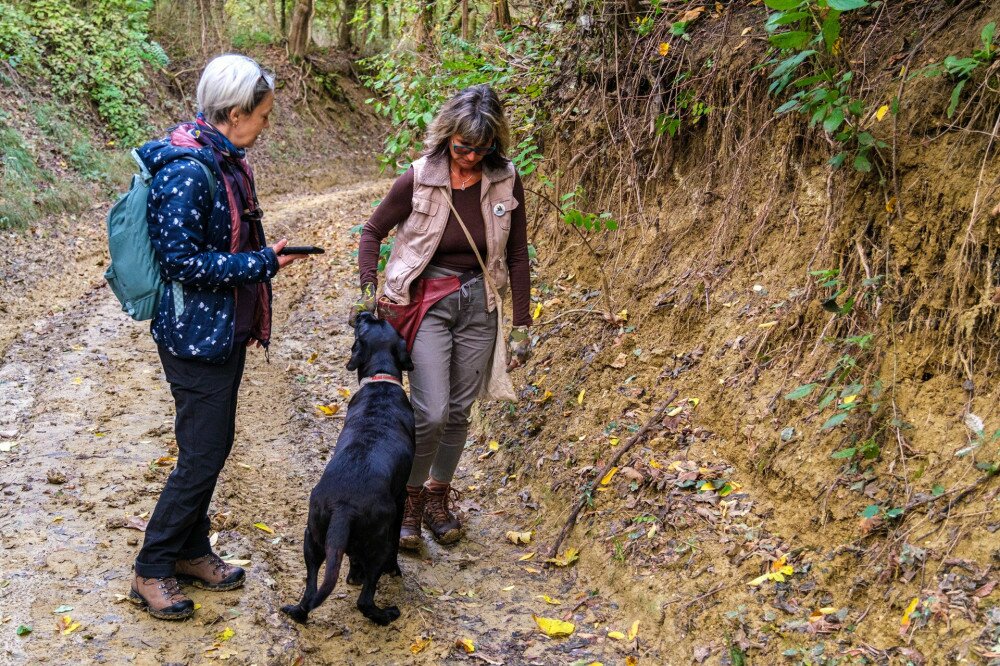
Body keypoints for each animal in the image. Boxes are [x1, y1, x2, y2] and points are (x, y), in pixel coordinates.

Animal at [284, 312, 416, 624]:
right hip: (378, 541)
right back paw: (386, 613)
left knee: (309, 592)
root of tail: (344, 507)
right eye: (364, 326)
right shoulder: (401, 499)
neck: (380, 380)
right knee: (365, 600)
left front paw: (353, 574)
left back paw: (299, 611)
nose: (364, 313)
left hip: (312, 538)